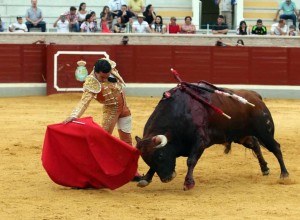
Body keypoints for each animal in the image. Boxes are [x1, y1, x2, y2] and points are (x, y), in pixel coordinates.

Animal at [135, 81, 288, 190]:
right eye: (146, 159)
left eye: (161, 156)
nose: (167, 178)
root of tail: (256, 96)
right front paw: (145, 179)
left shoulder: (200, 142)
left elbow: (191, 161)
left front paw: (188, 183)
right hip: (242, 135)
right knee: (255, 145)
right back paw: (265, 169)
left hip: (264, 132)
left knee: (276, 147)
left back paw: (284, 174)